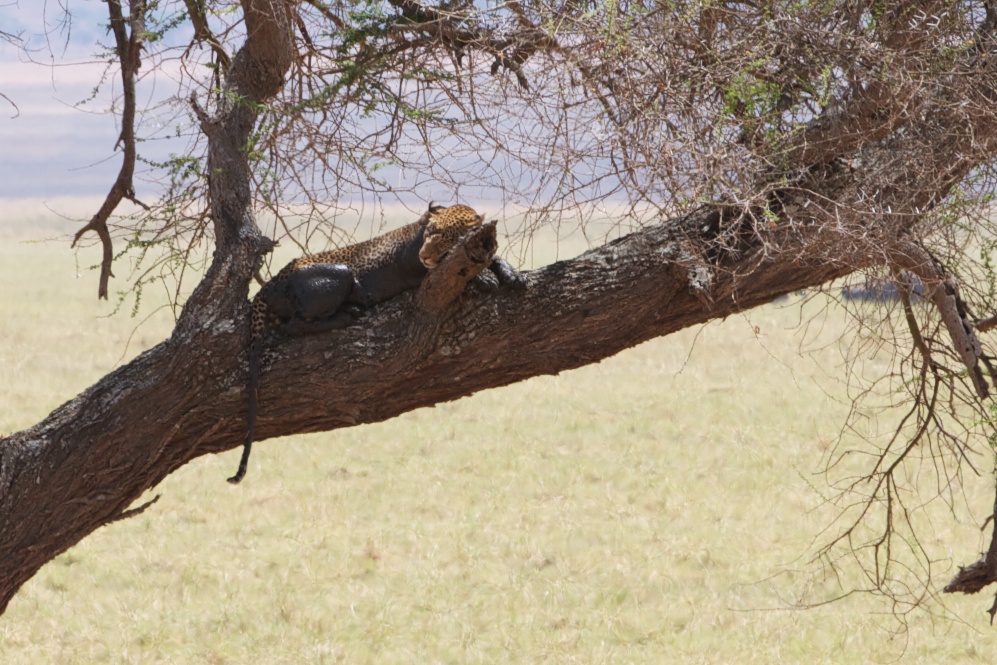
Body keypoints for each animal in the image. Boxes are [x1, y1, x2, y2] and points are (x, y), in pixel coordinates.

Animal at [229, 202, 525, 484]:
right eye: (430, 234)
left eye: (443, 236)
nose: (424, 255)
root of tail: (269, 285)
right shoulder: (422, 274)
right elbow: (466, 271)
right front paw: (487, 277)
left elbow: (494, 258)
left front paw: (512, 273)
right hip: (342, 272)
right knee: (292, 325)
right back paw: (349, 314)